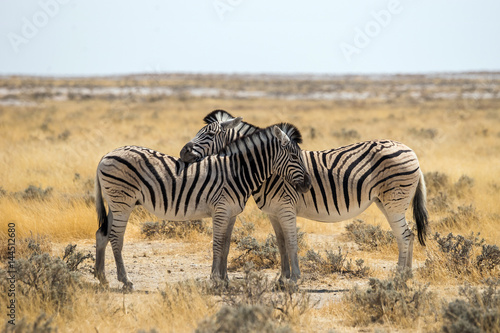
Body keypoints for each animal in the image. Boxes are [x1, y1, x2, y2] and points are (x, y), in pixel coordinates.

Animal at [94, 122, 310, 288]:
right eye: (294, 157)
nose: (308, 184)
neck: (237, 171)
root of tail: (106, 154)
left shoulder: (232, 213)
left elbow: (226, 245)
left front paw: (224, 281)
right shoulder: (221, 210)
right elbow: (217, 244)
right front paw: (215, 280)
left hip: (115, 203)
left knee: (102, 234)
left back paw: (102, 278)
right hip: (123, 202)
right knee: (116, 237)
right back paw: (125, 281)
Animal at [180, 110, 430, 282]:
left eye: (209, 134)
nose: (183, 152)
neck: (269, 170)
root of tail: (412, 151)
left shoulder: (286, 208)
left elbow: (291, 241)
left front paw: (292, 279)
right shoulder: (273, 212)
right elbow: (281, 243)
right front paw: (282, 279)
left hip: (394, 201)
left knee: (405, 235)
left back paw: (400, 278)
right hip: (385, 202)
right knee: (407, 234)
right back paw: (406, 276)